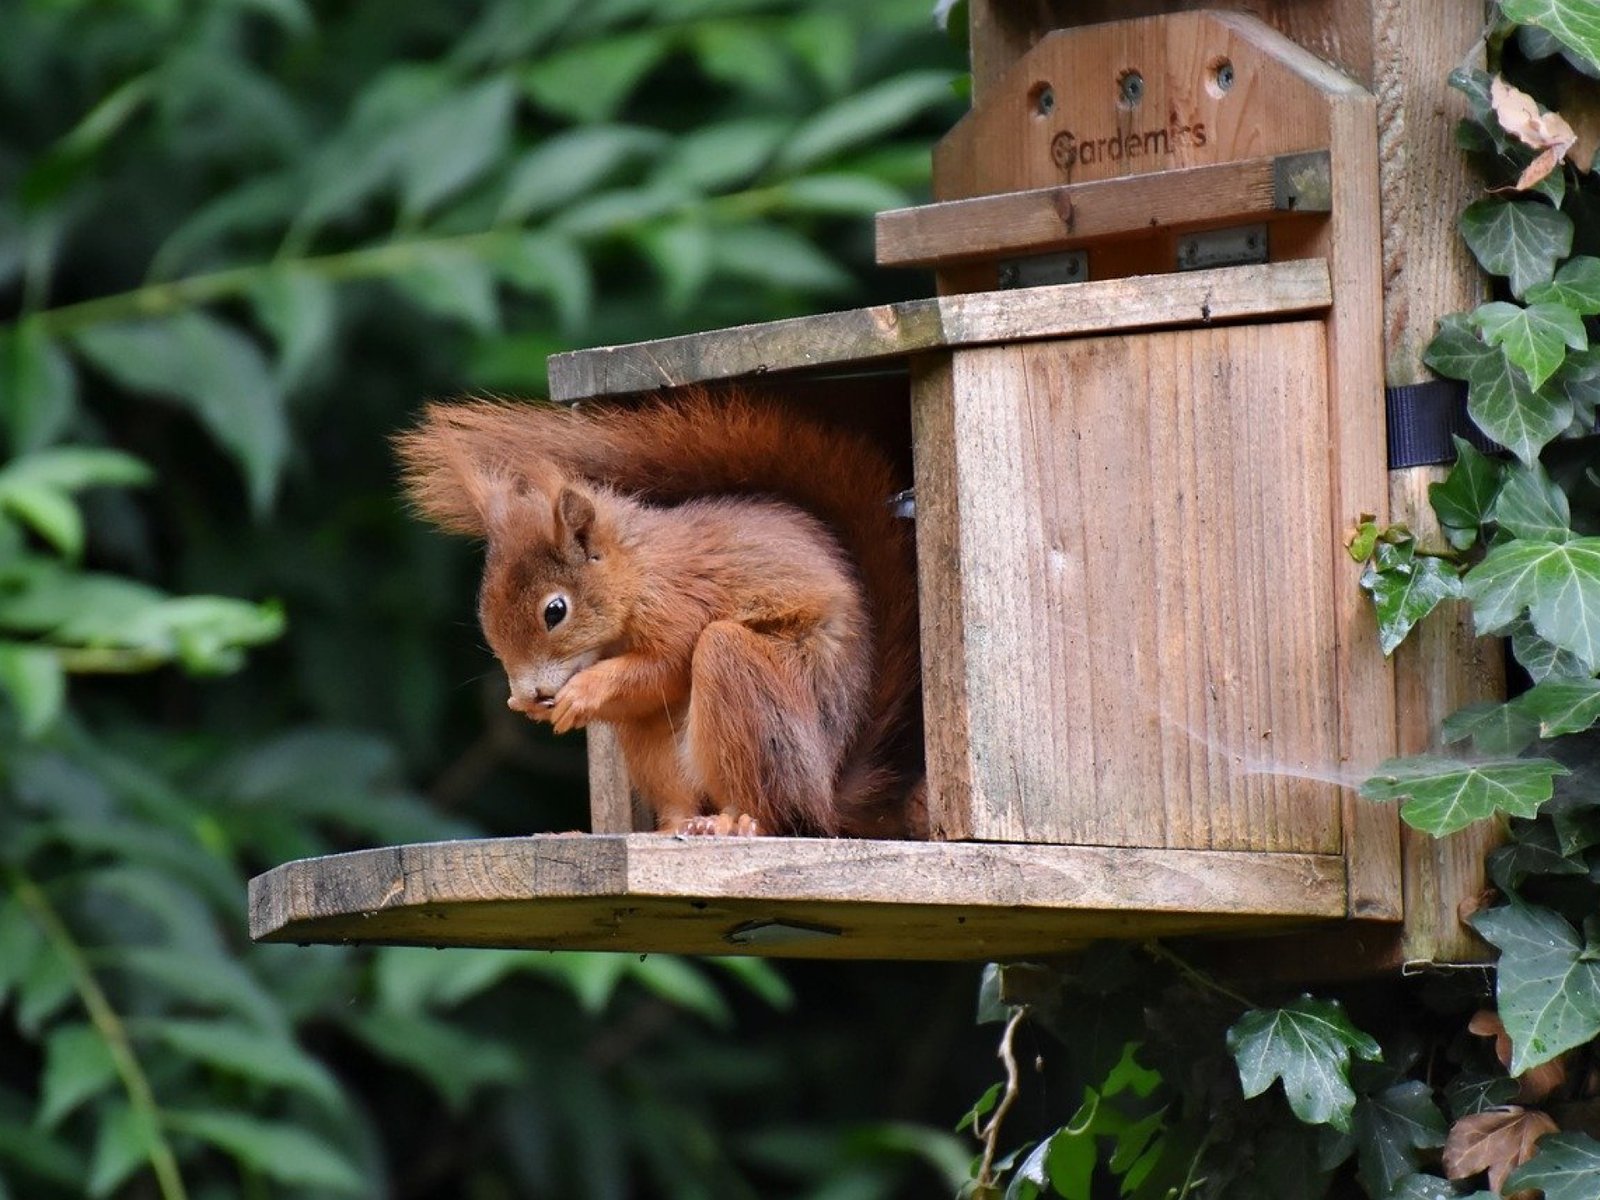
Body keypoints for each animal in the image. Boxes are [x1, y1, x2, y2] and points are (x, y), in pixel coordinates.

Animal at [394, 389, 923, 838]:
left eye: (555, 611)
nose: (530, 692)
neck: (637, 572)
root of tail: (826, 793)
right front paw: (529, 705)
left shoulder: (680, 604)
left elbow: (665, 666)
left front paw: (581, 692)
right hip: (654, 739)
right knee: (673, 786)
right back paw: (671, 827)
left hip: (756, 691)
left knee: (767, 805)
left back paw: (735, 822)